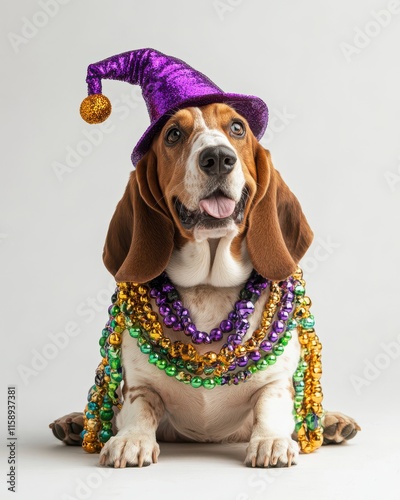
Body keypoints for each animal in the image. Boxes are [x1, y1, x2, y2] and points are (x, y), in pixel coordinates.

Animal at [50, 102, 360, 468]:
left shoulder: (276, 382)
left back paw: (332, 422)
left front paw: (270, 441)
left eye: (238, 128)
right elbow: (140, 410)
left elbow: (270, 406)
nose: (218, 157)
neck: (209, 286)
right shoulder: (139, 384)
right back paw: (75, 422)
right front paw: (131, 440)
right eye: (173, 134)